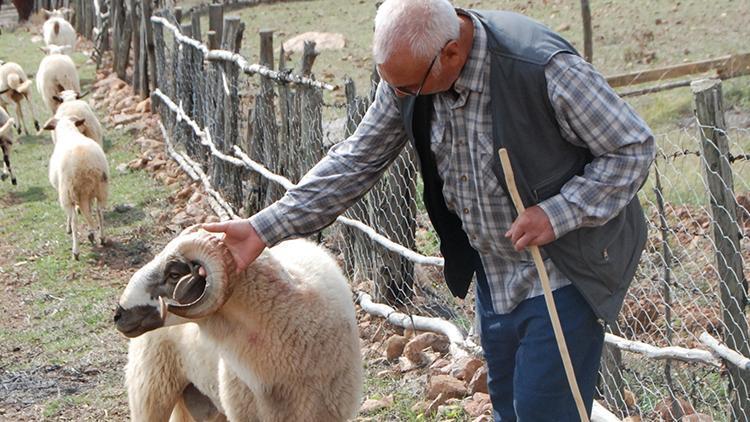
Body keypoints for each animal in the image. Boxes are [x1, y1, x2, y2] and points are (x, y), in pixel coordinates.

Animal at [44, 113, 108, 258]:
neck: (69, 130)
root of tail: (85, 165)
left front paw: (68, 228)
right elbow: (89, 209)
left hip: (67, 192)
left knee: (75, 220)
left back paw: (76, 251)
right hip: (100, 188)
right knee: (99, 212)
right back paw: (100, 237)